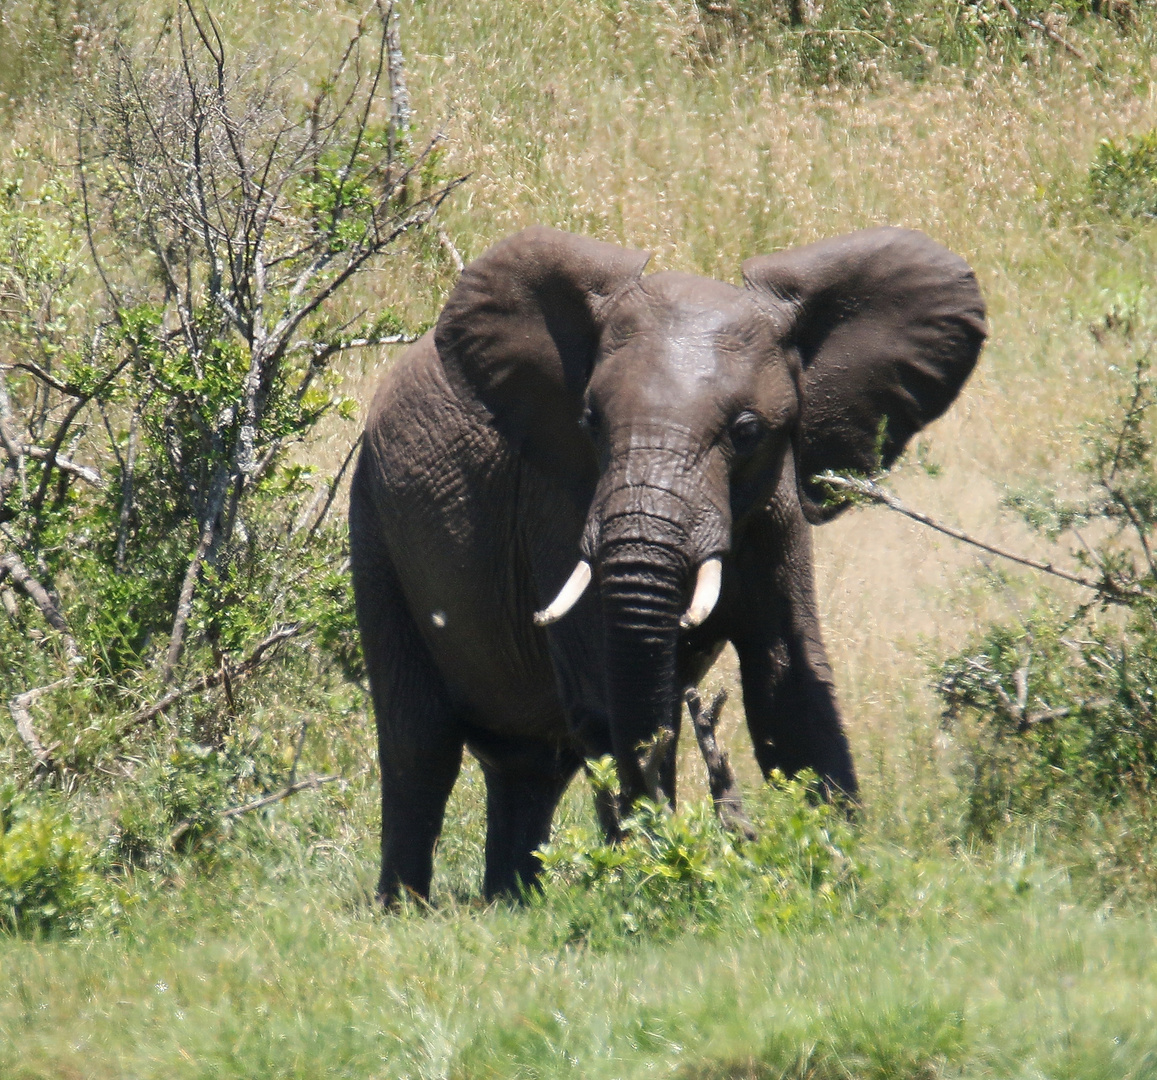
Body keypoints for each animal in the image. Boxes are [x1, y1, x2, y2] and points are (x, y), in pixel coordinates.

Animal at [351, 223, 985, 898]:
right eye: (590, 422)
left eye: (747, 431)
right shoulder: (557, 508)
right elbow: (609, 699)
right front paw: (648, 870)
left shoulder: (776, 511)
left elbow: (788, 686)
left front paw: (836, 873)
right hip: (373, 521)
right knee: (420, 745)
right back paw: (406, 908)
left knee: (528, 766)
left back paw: (513, 902)